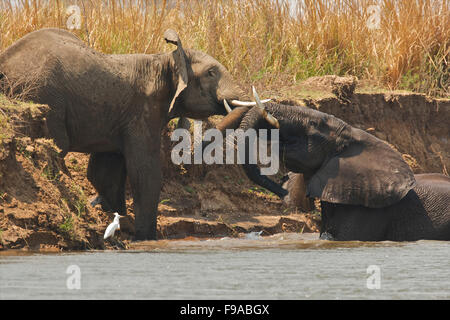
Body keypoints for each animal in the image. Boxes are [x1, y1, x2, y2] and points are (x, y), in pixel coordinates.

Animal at [0, 28, 260, 240]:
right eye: (211, 73)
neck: (165, 60)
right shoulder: (143, 112)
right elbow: (145, 172)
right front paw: (145, 237)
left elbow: (104, 173)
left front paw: (122, 224)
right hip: (42, 95)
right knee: (57, 147)